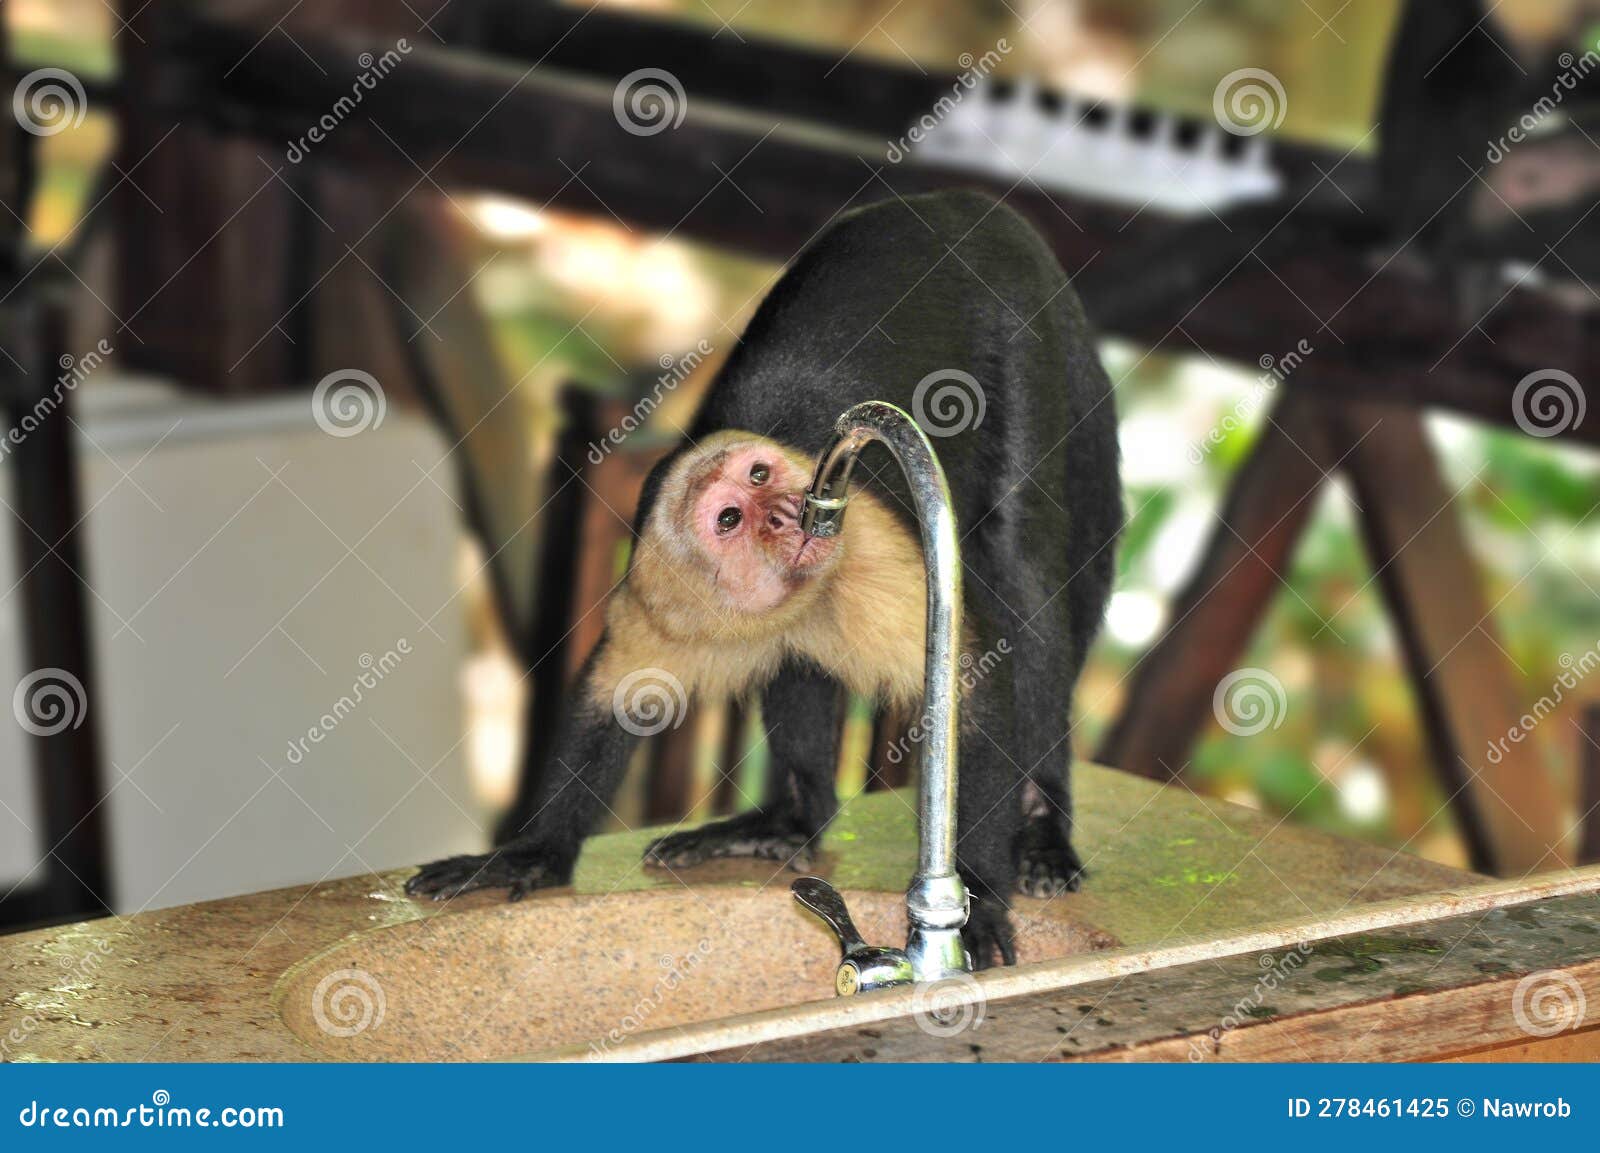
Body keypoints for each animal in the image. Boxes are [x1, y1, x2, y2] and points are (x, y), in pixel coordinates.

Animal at [408, 189, 1123, 968]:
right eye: (729, 518)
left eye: (760, 475)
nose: (786, 512)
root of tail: (968, 202)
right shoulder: (661, 594)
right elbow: (620, 695)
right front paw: (531, 851)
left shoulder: (868, 545)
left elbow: (972, 682)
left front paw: (981, 896)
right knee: (797, 658)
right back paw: (789, 821)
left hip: (1027, 335)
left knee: (1021, 575)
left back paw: (1040, 826)